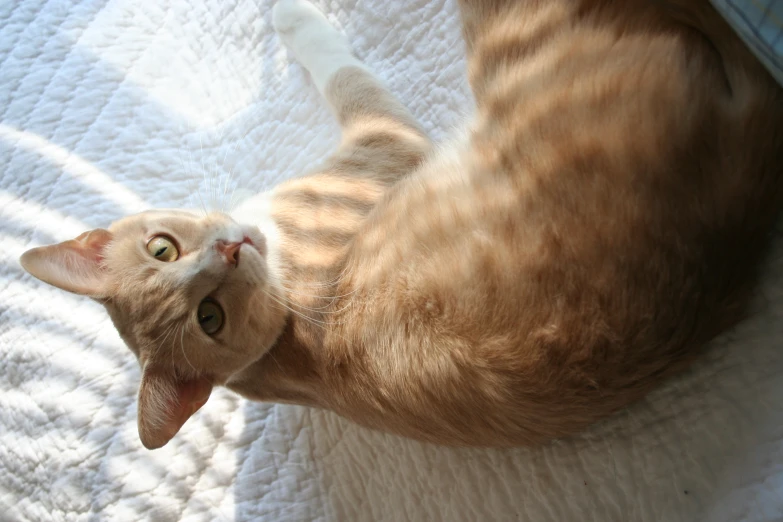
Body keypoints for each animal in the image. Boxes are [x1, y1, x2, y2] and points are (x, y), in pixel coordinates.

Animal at [16, 0, 783, 446]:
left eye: (162, 248)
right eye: (211, 318)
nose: (231, 249)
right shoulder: (386, 139)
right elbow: (340, 67)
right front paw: (294, 19)